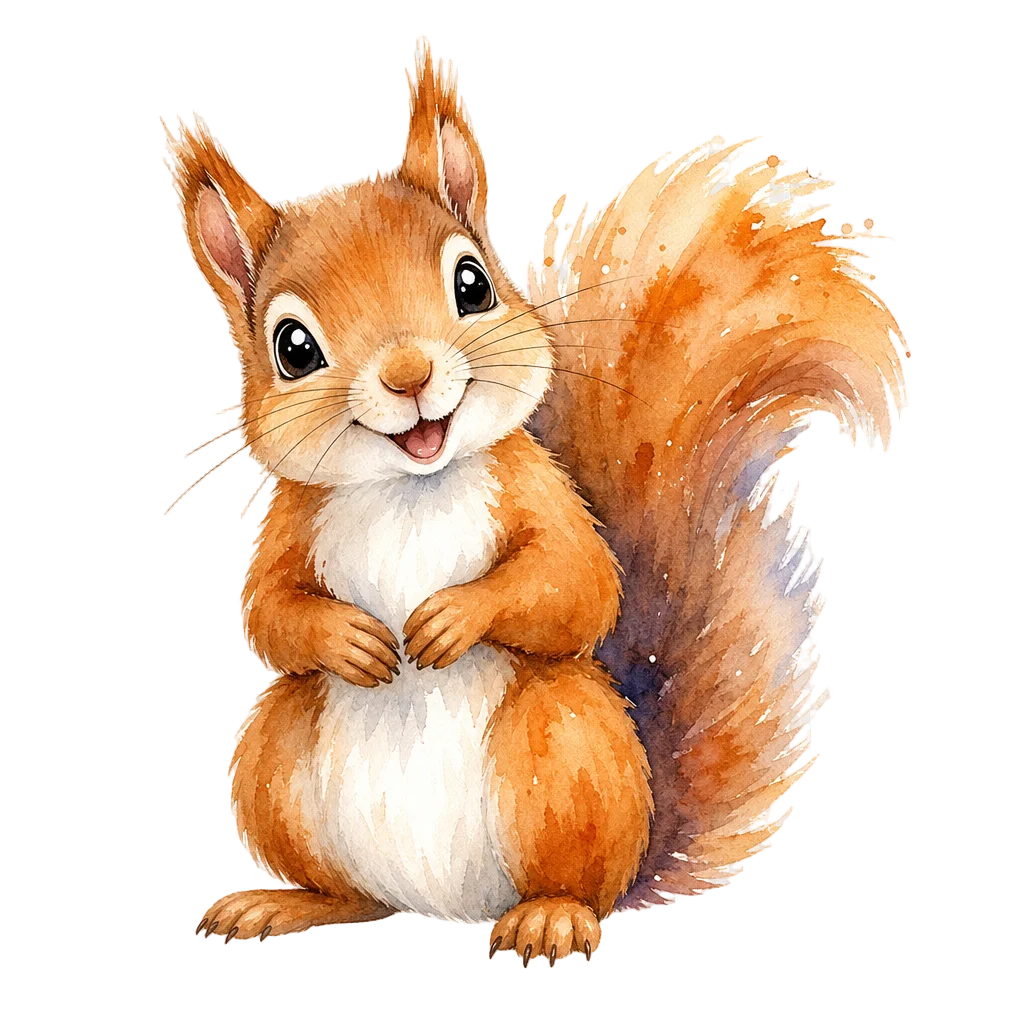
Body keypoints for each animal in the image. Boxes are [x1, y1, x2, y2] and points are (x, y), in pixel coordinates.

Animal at [166, 35, 905, 960]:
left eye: (473, 284)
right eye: (293, 348)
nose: (409, 375)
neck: (414, 485)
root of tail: (444, 908)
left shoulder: (533, 487)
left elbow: (576, 583)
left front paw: (455, 615)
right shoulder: (294, 523)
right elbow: (268, 613)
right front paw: (348, 638)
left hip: (561, 748)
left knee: (573, 874)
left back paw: (553, 917)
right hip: (274, 755)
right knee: (347, 884)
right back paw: (286, 905)